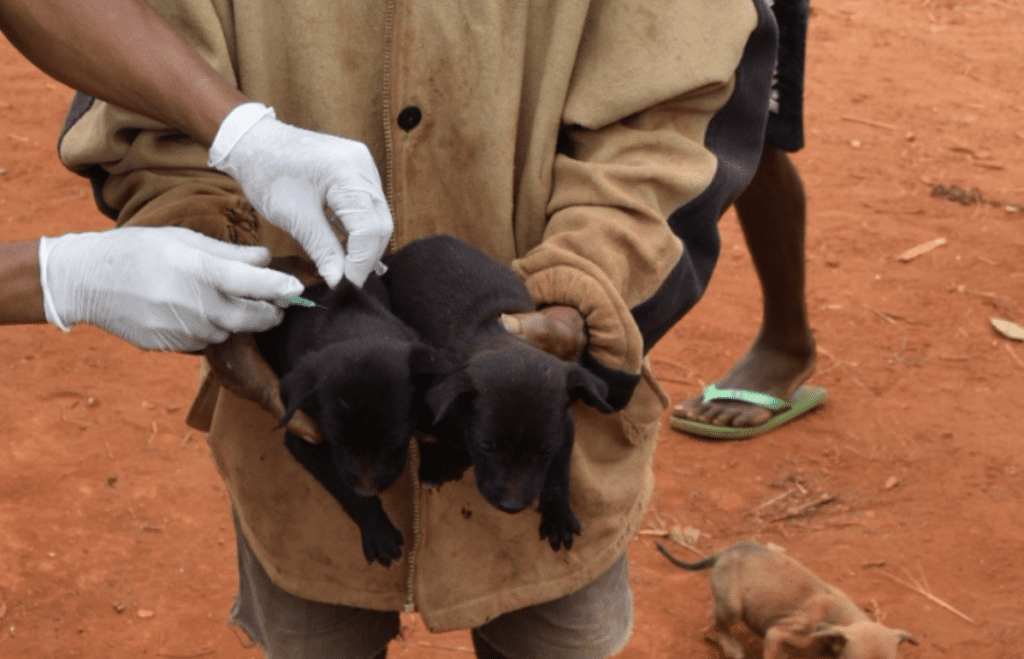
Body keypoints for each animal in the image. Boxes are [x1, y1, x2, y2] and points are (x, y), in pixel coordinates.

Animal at [255, 276, 438, 566]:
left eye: (397, 444)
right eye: (337, 442)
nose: (367, 489)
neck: (357, 328)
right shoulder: (304, 437)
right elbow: (343, 486)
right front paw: (379, 531)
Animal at [381, 235, 614, 551]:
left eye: (544, 450)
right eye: (487, 445)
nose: (511, 506)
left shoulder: (564, 426)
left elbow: (558, 471)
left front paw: (557, 514)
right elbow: (434, 440)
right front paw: (436, 465)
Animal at [656, 541, 918, 659]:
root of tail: (725, 551)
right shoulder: (779, 634)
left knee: (712, 615)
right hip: (733, 607)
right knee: (719, 621)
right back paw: (731, 647)